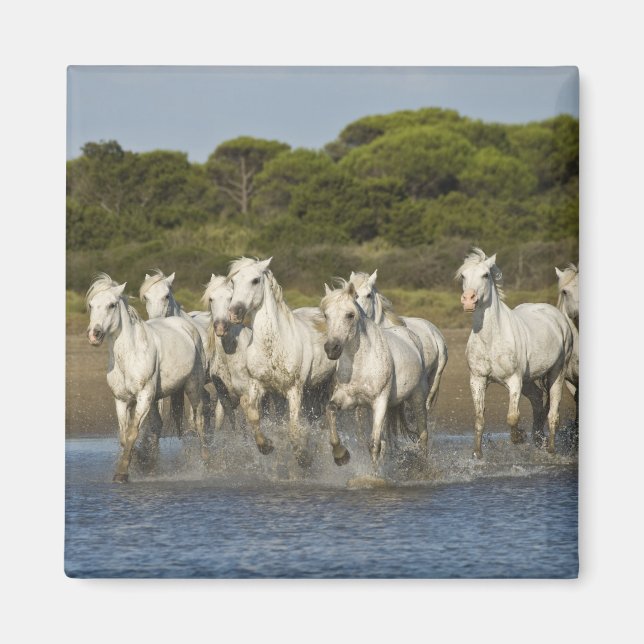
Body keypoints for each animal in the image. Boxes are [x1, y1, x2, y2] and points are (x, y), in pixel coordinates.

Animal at [86, 273, 209, 482]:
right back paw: (152, 465)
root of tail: (187, 327)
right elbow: (124, 435)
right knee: (158, 425)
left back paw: (206, 461)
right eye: (91, 305)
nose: (94, 334)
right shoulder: (121, 400)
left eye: (112, 305)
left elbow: (132, 432)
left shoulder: (143, 397)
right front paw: (140, 460)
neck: (130, 354)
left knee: (199, 422)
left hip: (193, 387)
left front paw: (122, 474)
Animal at [226, 257, 336, 466]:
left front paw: (303, 457)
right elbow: (253, 416)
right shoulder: (257, 385)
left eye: (255, 280)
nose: (234, 313)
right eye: (233, 282)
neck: (273, 346)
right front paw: (266, 446)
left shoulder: (294, 390)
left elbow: (293, 429)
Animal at [320, 280, 429, 467]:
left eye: (350, 315)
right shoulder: (348, 399)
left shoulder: (379, 402)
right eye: (326, 315)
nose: (332, 349)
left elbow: (373, 444)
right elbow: (330, 409)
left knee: (423, 434)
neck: (362, 364)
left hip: (417, 397)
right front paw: (341, 455)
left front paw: (374, 473)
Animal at [456, 249, 573, 458]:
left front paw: (518, 438)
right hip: (528, 380)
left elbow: (512, 417)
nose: (468, 300)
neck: (492, 339)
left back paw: (550, 449)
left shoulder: (514, 380)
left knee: (553, 413)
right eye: (463, 276)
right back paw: (538, 439)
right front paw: (477, 455)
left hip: (557, 373)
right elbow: (479, 419)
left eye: (485, 275)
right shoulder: (477, 379)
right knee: (537, 400)